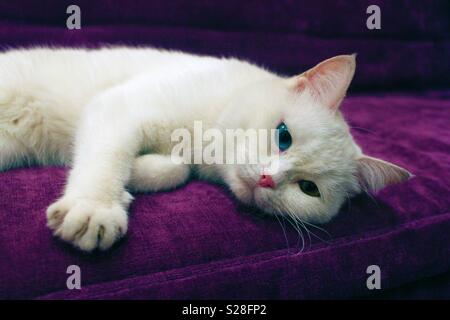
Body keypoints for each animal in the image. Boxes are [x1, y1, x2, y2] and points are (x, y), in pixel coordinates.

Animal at [0, 47, 412, 252]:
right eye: (283, 137)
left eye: (308, 189)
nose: (268, 179)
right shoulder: (119, 105)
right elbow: (109, 157)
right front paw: (96, 207)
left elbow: (175, 169)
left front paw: (137, 176)